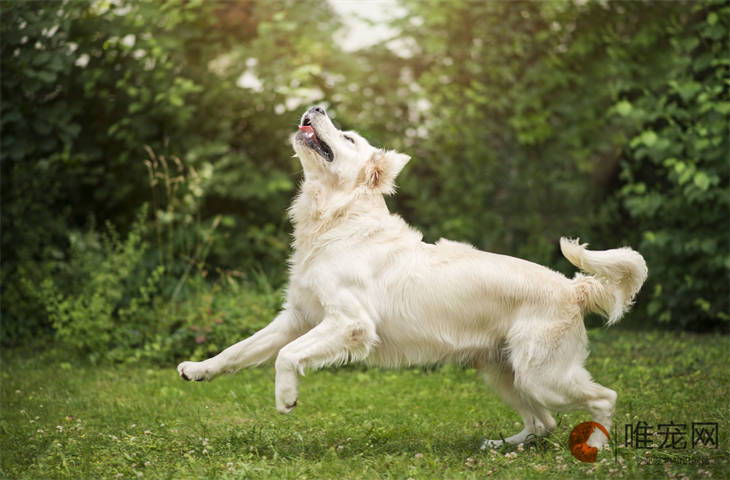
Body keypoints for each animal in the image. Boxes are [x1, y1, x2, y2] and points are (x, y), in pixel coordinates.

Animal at [179, 105, 644, 450]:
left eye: (349, 138)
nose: (316, 107)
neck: (337, 220)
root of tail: (573, 287)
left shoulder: (350, 323)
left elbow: (286, 356)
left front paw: (286, 397)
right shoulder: (298, 317)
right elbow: (240, 350)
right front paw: (199, 369)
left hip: (542, 375)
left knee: (604, 399)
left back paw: (595, 451)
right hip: (506, 373)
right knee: (544, 422)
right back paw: (504, 446)